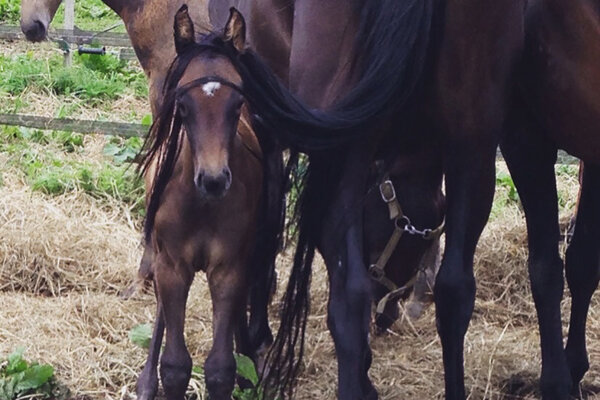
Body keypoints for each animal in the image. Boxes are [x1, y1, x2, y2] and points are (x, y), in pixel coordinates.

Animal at [137, 7, 264, 400]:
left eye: (238, 104)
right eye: (183, 104)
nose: (213, 179)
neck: (203, 206)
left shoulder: (228, 268)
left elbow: (220, 367)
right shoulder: (172, 266)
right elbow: (175, 365)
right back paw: (145, 382)